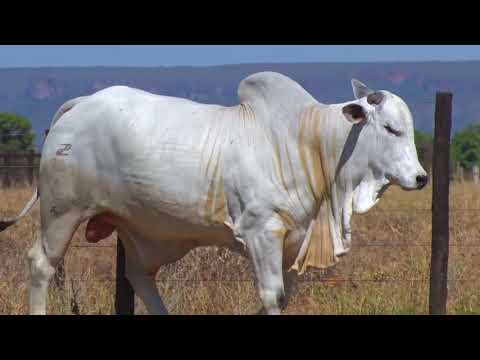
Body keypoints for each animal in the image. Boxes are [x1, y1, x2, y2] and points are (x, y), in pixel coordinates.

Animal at [0, 71, 428, 314]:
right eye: (390, 128)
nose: (422, 177)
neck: (310, 142)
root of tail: (81, 104)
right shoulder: (261, 232)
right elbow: (272, 297)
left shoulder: (292, 242)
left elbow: (279, 298)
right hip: (62, 212)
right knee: (41, 264)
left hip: (146, 230)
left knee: (139, 276)